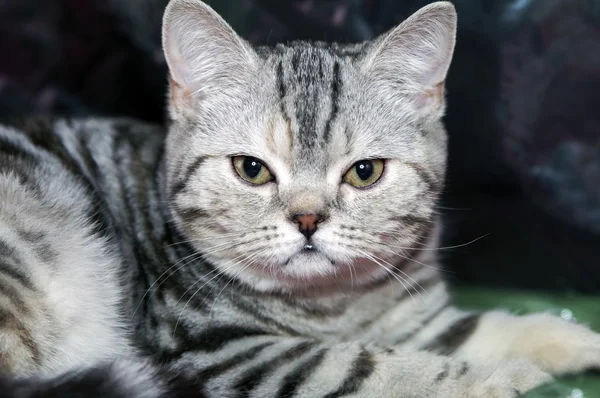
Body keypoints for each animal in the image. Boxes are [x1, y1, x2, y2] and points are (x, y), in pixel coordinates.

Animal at [1, 0, 600, 396]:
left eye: (364, 172)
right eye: (251, 170)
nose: (308, 219)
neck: (334, 305)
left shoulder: (414, 314)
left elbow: (478, 327)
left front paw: (578, 342)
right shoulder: (220, 350)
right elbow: (372, 367)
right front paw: (494, 381)